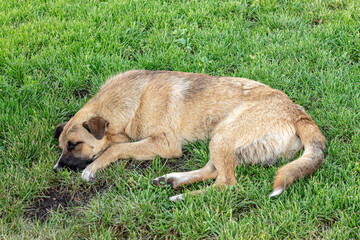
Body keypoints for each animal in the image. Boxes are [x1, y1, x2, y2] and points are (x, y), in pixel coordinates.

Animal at [54, 69, 326, 201]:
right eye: (61, 147)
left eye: (75, 144)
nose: (57, 168)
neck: (132, 100)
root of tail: (296, 111)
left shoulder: (166, 144)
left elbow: (116, 148)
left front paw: (93, 168)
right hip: (223, 138)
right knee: (213, 172)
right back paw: (172, 180)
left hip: (223, 135)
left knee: (226, 184)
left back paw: (181, 197)